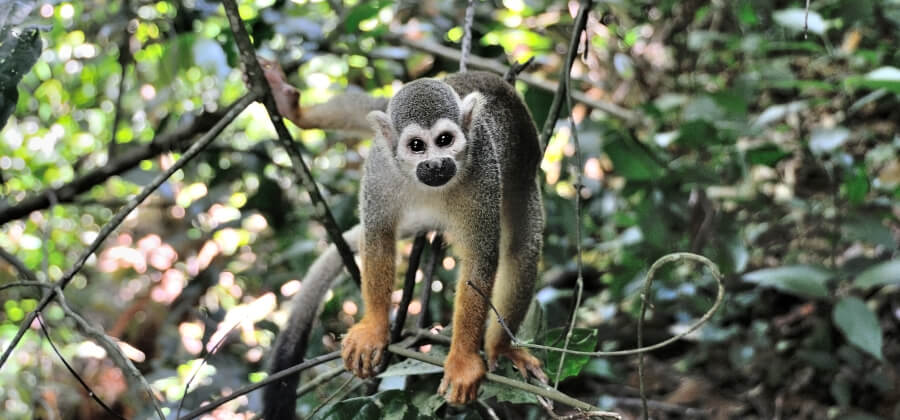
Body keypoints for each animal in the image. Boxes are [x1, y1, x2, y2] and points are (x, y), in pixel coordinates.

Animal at [258, 59, 546, 419]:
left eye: (445, 140)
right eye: (416, 146)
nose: (435, 164)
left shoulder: (482, 170)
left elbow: (482, 259)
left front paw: (464, 359)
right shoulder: (381, 165)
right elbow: (378, 235)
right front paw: (374, 329)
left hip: (522, 178)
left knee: (522, 249)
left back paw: (501, 346)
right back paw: (293, 108)